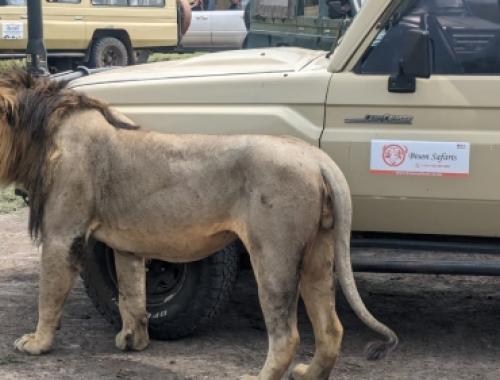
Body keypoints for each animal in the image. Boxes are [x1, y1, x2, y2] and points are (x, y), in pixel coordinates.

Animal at [0, 69, 398, 380]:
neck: (38, 133)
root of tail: (317, 157)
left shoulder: (61, 235)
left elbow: (49, 295)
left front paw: (36, 343)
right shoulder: (128, 245)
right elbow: (132, 294)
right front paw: (133, 342)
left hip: (273, 254)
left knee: (287, 336)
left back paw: (261, 376)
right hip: (319, 253)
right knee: (331, 328)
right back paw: (309, 374)